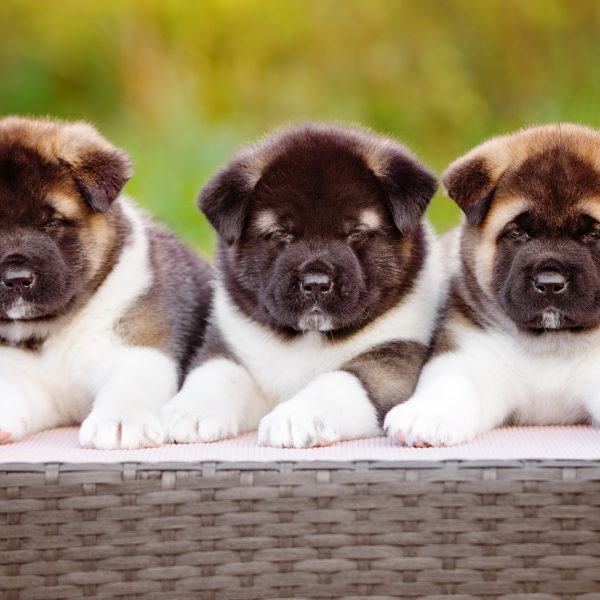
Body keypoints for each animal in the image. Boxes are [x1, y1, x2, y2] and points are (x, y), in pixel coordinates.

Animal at [0, 117, 212, 448]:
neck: (54, 327)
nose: (16, 280)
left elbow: (129, 384)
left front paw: (121, 421)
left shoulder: (139, 346)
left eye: (52, 222)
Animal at [162, 124, 448, 448]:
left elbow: (338, 383)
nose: (316, 284)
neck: (308, 339)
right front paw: (191, 411)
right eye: (280, 234)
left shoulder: (393, 359)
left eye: (356, 232)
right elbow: (215, 373)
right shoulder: (230, 344)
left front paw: (296, 418)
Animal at [384, 123, 600, 446]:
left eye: (593, 235)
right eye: (518, 233)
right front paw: (426, 415)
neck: (550, 345)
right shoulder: (469, 355)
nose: (550, 284)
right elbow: (449, 384)